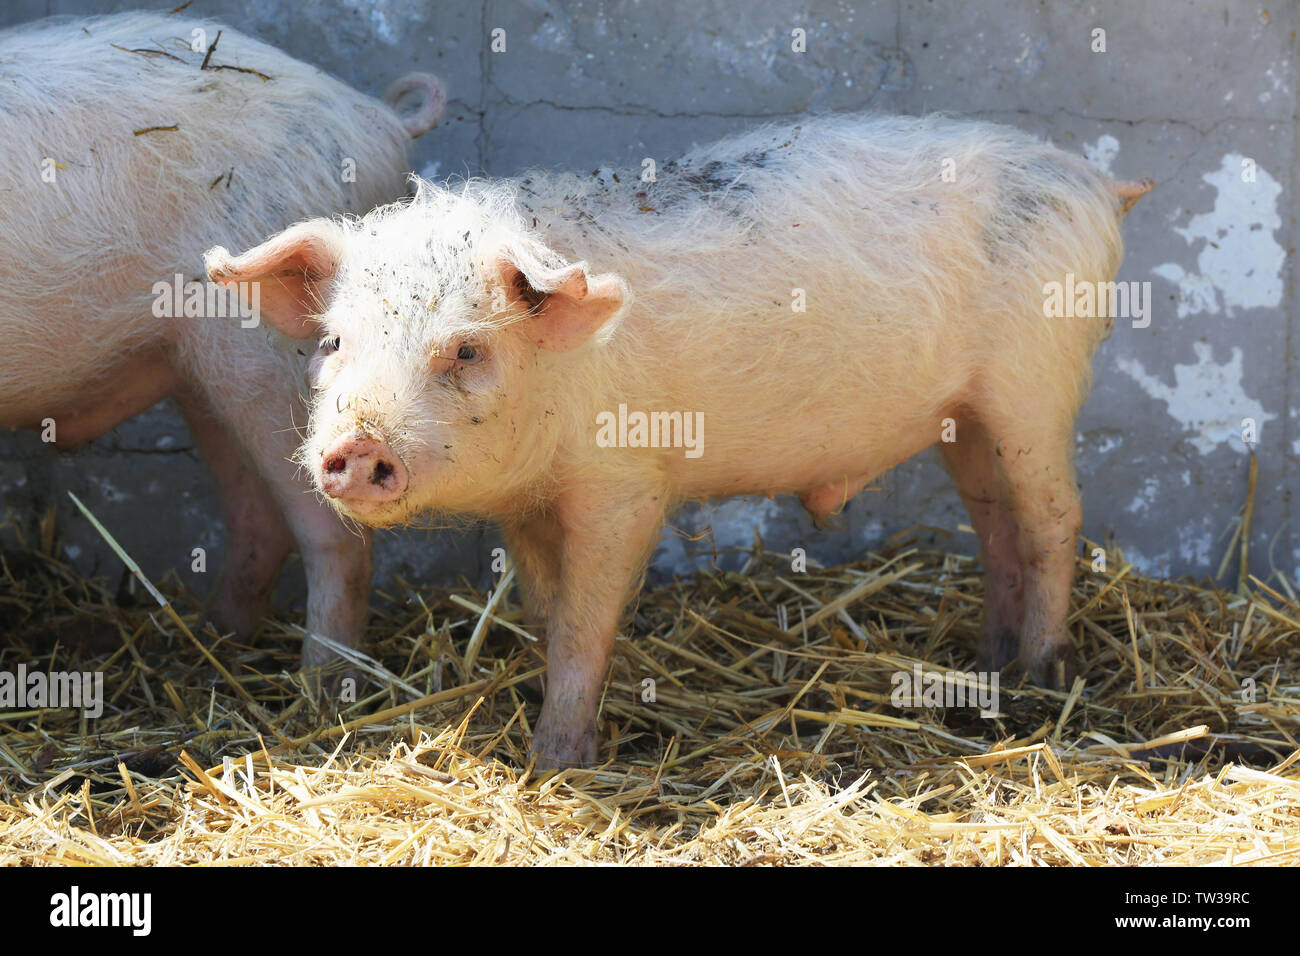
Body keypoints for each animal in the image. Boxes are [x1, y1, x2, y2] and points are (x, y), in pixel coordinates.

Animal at [0, 14, 447, 671]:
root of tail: (376, 116)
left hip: (273, 356)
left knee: (337, 533)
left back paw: (318, 684)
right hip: (196, 362)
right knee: (259, 518)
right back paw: (220, 645)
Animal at [208, 113, 1154, 770]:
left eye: (467, 350)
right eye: (334, 342)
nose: (352, 452)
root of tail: (1094, 182)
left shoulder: (625, 485)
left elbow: (588, 616)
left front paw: (556, 762)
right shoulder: (530, 505)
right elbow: (545, 605)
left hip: (1038, 377)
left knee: (1055, 519)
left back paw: (1041, 679)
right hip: (966, 416)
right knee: (995, 522)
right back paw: (987, 660)